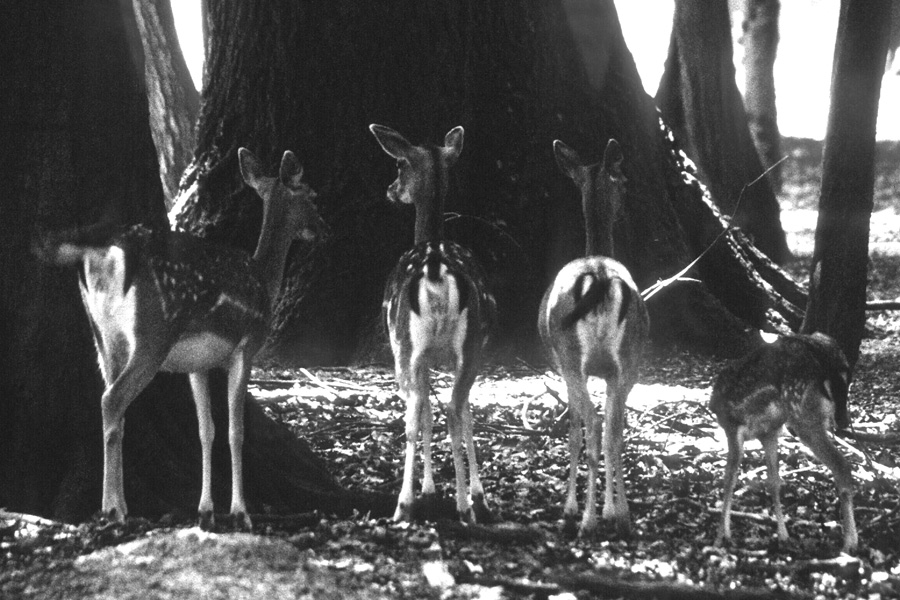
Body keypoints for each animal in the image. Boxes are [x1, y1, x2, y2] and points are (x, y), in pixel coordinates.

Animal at [37, 149, 320, 528]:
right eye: (312, 195)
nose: (323, 229)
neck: (264, 281)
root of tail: (101, 255)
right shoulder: (247, 346)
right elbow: (235, 431)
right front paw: (241, 513)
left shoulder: (197, 364)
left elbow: (206, 430)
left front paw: (206, 511)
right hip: (153, 334)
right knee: (113, 399)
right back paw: (112, 508)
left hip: (102, 336)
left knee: (112, 404)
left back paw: (120, 504)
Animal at [370, 124, 500, 524]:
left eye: (399, 164)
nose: (389, 190)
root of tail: (435, 272)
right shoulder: (464, 355)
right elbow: (458, 414)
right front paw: (473, 494)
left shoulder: (417, 355)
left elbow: (426, 414)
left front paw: (428, 490)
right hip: (469, 346)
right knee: (457, 410)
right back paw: (464, 505)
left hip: (405, 345)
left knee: (420, 415)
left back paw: (408, 504)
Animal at [536, 138, 652, 536]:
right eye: (625, 183)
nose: (627, 211)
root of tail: (600, 277)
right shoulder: (610, 372)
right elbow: (610, 432)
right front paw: (611, 510)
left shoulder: (563, 366)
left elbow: (573, 429)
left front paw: (572, 507)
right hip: (629, 359)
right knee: (614, 430)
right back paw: (623, 516)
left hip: (571, 356)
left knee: (594, 424)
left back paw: (587, 519)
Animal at [712, 332, 856, 552]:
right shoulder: (769, 433)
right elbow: (774, 482)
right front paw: (783, 536)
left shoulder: (733, 427)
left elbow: (729, 479)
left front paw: (721, 537)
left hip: (803, 415)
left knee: (841, 465)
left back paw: (849, 543)